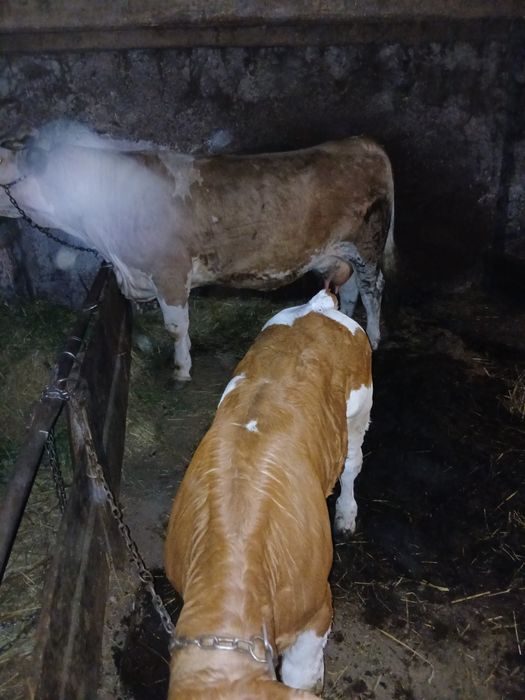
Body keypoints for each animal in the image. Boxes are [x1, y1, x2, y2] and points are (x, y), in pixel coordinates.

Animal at [0, 121, 394, 380]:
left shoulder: (170, 271)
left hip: (368, 243)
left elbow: (176, 326)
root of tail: (360, 142)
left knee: (374, 288)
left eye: (1, 158)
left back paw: (374, 339)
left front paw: (181, 370)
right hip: (342, 249)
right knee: (352, 288)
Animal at [164, 289, 373, 699]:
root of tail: (318, 307)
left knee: (353, 465)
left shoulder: (318, 612)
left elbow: (304, 675)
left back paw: (345, 515)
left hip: (361, 408)